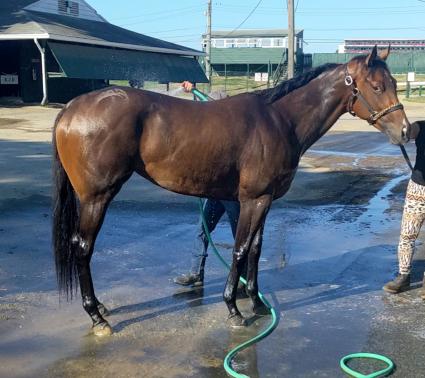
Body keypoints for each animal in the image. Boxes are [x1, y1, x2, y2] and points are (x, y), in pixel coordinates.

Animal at [52, 45, 408, 336]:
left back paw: (100, 307)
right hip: (96, 197)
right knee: (82, 247)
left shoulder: (264, 201)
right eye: (377, 86)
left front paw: (257, 303)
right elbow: (240, 249)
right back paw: (96, 317)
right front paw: (234, 309)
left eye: (393, 83)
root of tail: (70, 108)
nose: (405, 131)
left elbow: (256, 249)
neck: (279, 120)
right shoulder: (253, 200)